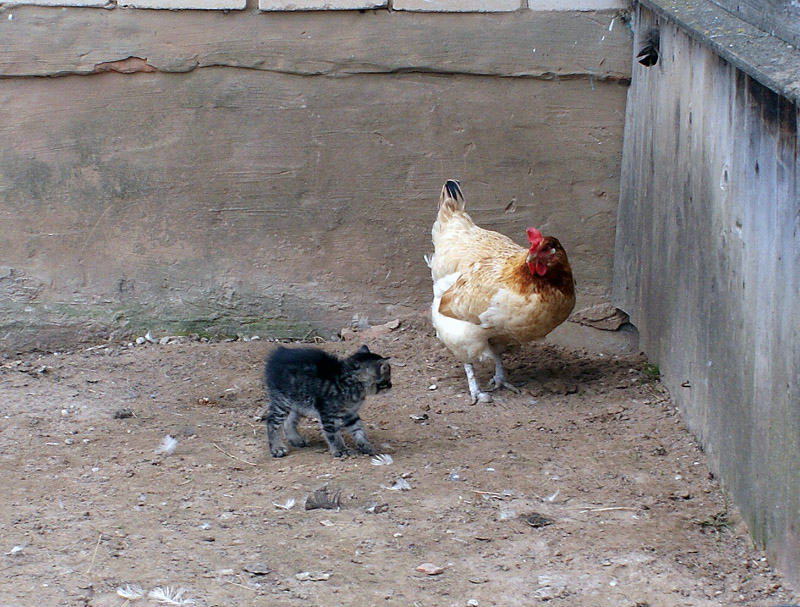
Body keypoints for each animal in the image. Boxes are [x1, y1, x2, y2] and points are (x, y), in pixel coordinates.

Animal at [264, 344, 392, 458]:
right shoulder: (328, 413)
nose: (391, 385)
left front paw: (365, 444)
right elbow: (333, 434)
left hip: (297, 402)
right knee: (272, 421)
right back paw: (277, 448)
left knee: (289, 421)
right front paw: (341, 450)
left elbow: (358, 429)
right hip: (283, 400)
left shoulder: (351, 413)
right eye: (387, 380)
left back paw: (295, 439)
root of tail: (277, 354)